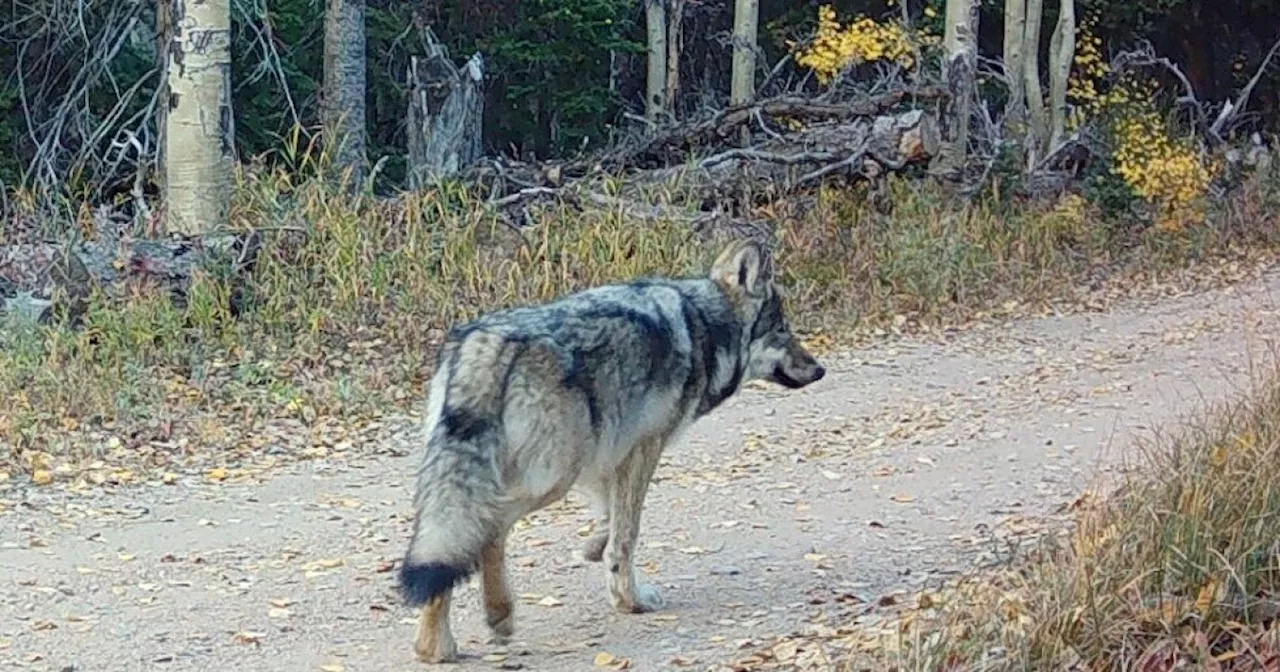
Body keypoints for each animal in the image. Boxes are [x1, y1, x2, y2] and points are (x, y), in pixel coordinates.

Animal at [394, 235, 824, 660]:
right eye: (782, 330)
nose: (820, 369)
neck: (704, 324)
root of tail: (484, 342)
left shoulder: (606, 457)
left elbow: (609, 518)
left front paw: (593, 550)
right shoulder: (643, 447)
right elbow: (626, 534)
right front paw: (631, 600)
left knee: (450, 548)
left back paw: (435, 646)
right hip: (551, 479)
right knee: (488, 530)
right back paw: (497, 616)